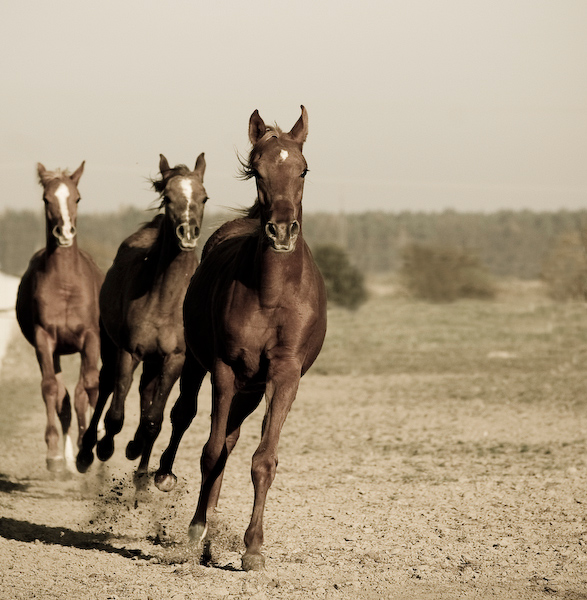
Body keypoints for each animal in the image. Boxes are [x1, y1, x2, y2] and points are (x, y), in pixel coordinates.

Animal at [16, 163, 104, 474]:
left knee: (82, 393)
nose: (64, 232)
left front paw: (95, 441)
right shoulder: (44, 339)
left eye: (77, 197)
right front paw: (54, 455)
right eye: (46, 199)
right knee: (64, 398)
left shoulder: (90, 338)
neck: (66, 284)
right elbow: (51, 390)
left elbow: (89, 388)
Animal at [77, 152, 208, 476]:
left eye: (204, 197)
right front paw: (104, 448)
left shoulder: (174, 358)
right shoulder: (128, 351)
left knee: (146, 393)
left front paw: (141, 471)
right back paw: (87, 451)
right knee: (106, 385)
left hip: (153, 360)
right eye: (169, 197)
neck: (164, 300)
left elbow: (153, 420)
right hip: (110, 344)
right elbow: (115, 415)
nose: (188, 233)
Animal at [155, 108, 326, 572]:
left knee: (231, 441)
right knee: (184, 416)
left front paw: (253, 549)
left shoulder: (284, 376)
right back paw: (169, 483)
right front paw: (195, 530)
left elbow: (262, 459)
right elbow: (210, 450)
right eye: (259, 171)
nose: (282, 231)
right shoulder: (225, 369)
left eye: (303, 169)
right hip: (201, 366)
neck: (271, 293)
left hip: (251, 390)